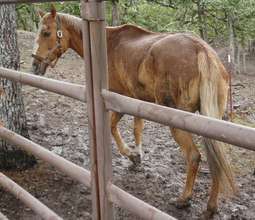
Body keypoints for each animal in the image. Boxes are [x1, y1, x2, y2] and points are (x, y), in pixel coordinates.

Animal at [30, 6, 236, 217]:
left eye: (46, 32)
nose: (35, 65)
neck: (107, 45)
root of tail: (201, 49)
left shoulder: (116, 102)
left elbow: (112, 127)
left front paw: (132, 155)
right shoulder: (137, 102)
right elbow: (138, 128)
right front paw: (138, 154)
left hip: (179, 121)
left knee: (194, 157)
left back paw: (184, 198)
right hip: (210, 121)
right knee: (216, 158)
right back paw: (211, 206)